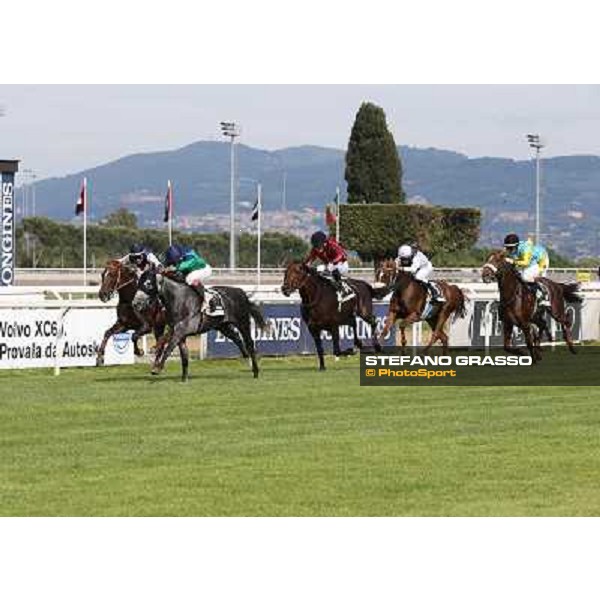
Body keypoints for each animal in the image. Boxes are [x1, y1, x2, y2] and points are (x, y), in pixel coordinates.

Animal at [136, 268, 270, 380]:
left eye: (148, 283)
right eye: (138, 283)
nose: (136, 302)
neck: (179, 300)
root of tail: (241, 292)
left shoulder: (180, 330)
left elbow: (168, 348)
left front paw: (157, 368)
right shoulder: (179, 333)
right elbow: (183, 355)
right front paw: (184, 378)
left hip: (242, 323)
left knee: (249, 343)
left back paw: (255, 370)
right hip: (223, 326)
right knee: (237, 339)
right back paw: (248, 361)